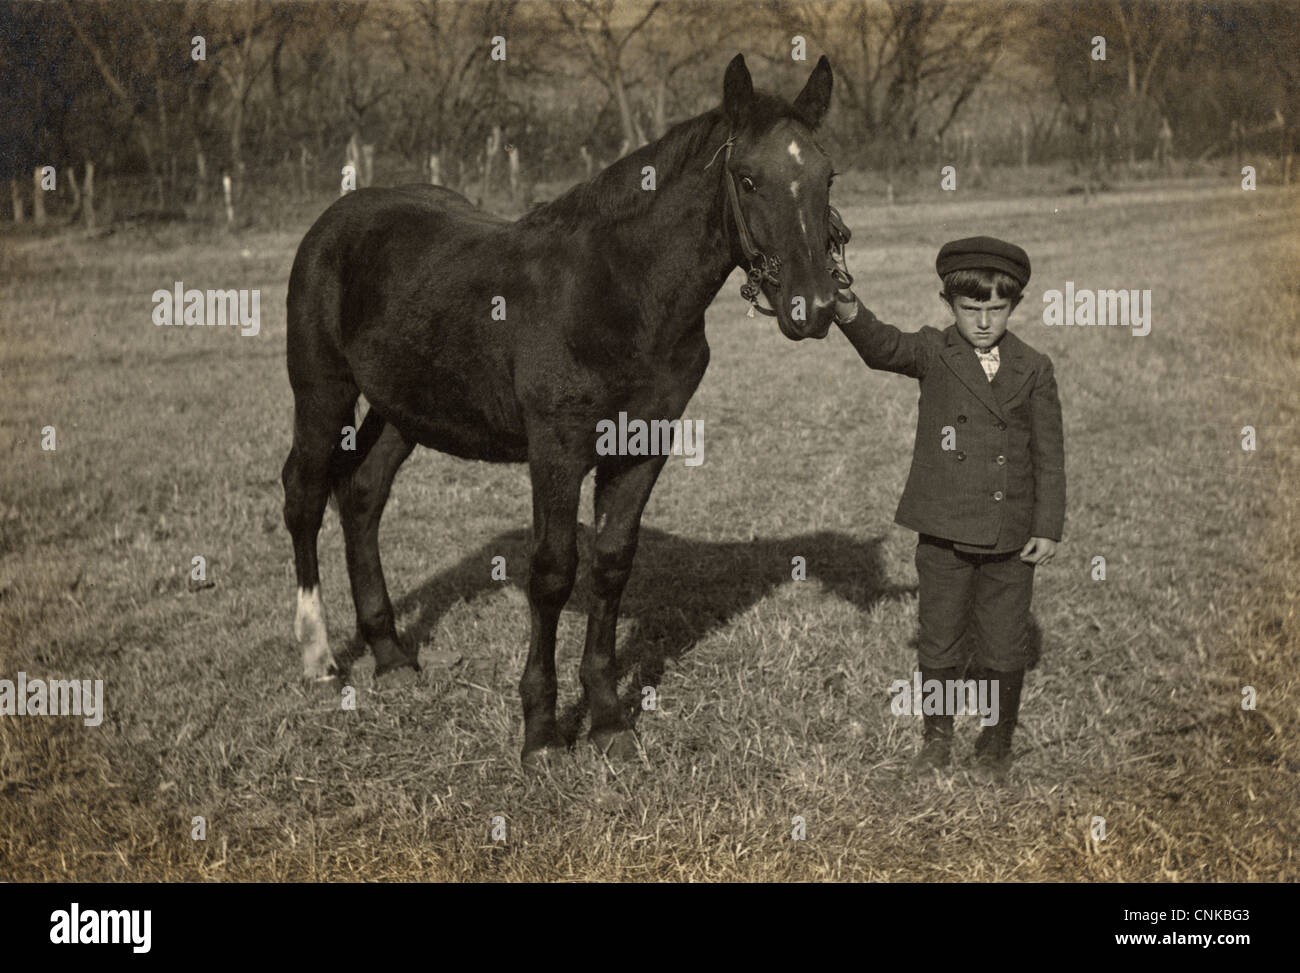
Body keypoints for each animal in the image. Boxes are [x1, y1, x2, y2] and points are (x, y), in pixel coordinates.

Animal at [279, 54, 837, 770]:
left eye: (827, 176)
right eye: (747, 178)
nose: (813, 308)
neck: (621, 291)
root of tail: (337, 217)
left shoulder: (641, 448)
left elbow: (611, 564)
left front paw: (607, 720)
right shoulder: (557, 449)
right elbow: (551, 572)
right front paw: (541, 732)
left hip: (403, 407)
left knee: (362, 494)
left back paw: (391, 656)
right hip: (322, 390)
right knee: (304, 493)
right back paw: (320, 659)